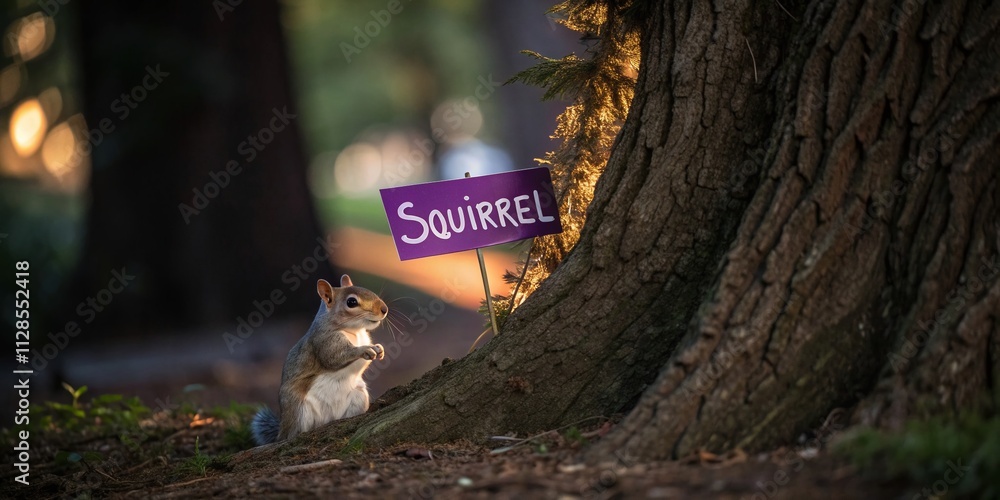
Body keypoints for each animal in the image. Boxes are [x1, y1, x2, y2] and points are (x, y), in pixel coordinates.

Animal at [251, 274, 388, 446]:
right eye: (351, 302)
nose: (384, 309)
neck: (354, 331)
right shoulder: (324, 341)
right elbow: (335, 357)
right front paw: (364, 350)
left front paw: (380, 348)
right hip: (297, 409)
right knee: (292, 433)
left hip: (359, 396)